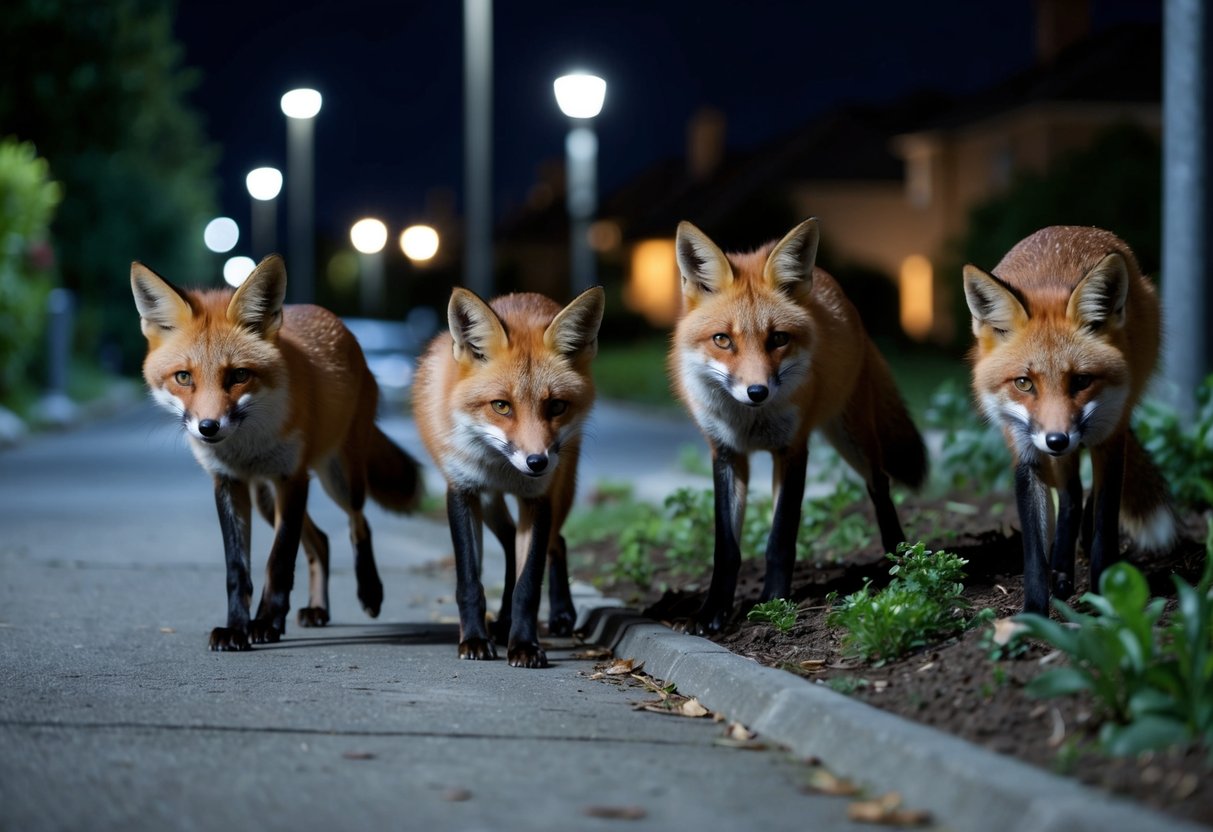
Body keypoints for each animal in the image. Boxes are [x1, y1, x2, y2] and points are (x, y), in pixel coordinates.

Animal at [131, 254, 422, 650]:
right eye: (183, 378)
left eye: (239, 376)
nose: (208, 427)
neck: (247, 447)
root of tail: (340, 327)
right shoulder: (229, 483)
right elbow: (238, 569)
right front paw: (238, 628)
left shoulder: (293, 478)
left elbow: (279, 561)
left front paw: (266, 623)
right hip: (266, 500)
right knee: (321, 542)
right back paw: (317, 610)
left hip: (339, 479)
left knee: (358, 523)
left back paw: (369, 592)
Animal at [412, 286, 604, 668]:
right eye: (501, 406)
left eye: (556, 406)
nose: (537, 462)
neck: (500, 466)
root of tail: (527, 296)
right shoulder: (463, 491)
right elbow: (470, 581)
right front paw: (474, 639)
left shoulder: (538, 498)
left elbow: (527, 585)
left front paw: (524, 645)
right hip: (490, 503)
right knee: (510, 542)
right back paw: (500, 624)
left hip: (561, 489)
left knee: (555, 542)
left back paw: (559, 614)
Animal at [670, 217, 928, 634]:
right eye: (722, 340)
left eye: (778, 339)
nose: (756, 391)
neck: (750, 421)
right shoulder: (726, 454)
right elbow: (726, 548)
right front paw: (713, 611)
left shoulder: (793, 449)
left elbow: (780, 537)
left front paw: (773, 602)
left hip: (853, 437)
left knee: (880, 485)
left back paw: (898, 558)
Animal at [963, 226, 1175, 614]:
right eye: (1024, 383)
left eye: (1081, 381)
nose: (1057, 440)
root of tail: (1068, 228)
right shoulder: (1026, 452)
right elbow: (1034, 550)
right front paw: (1033, 613)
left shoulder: (1110, 438)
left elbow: (1105, 524)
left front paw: (1107, 599)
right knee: (1072, 493)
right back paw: (1062, 570)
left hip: (1116, 420)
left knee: (1085, 496)